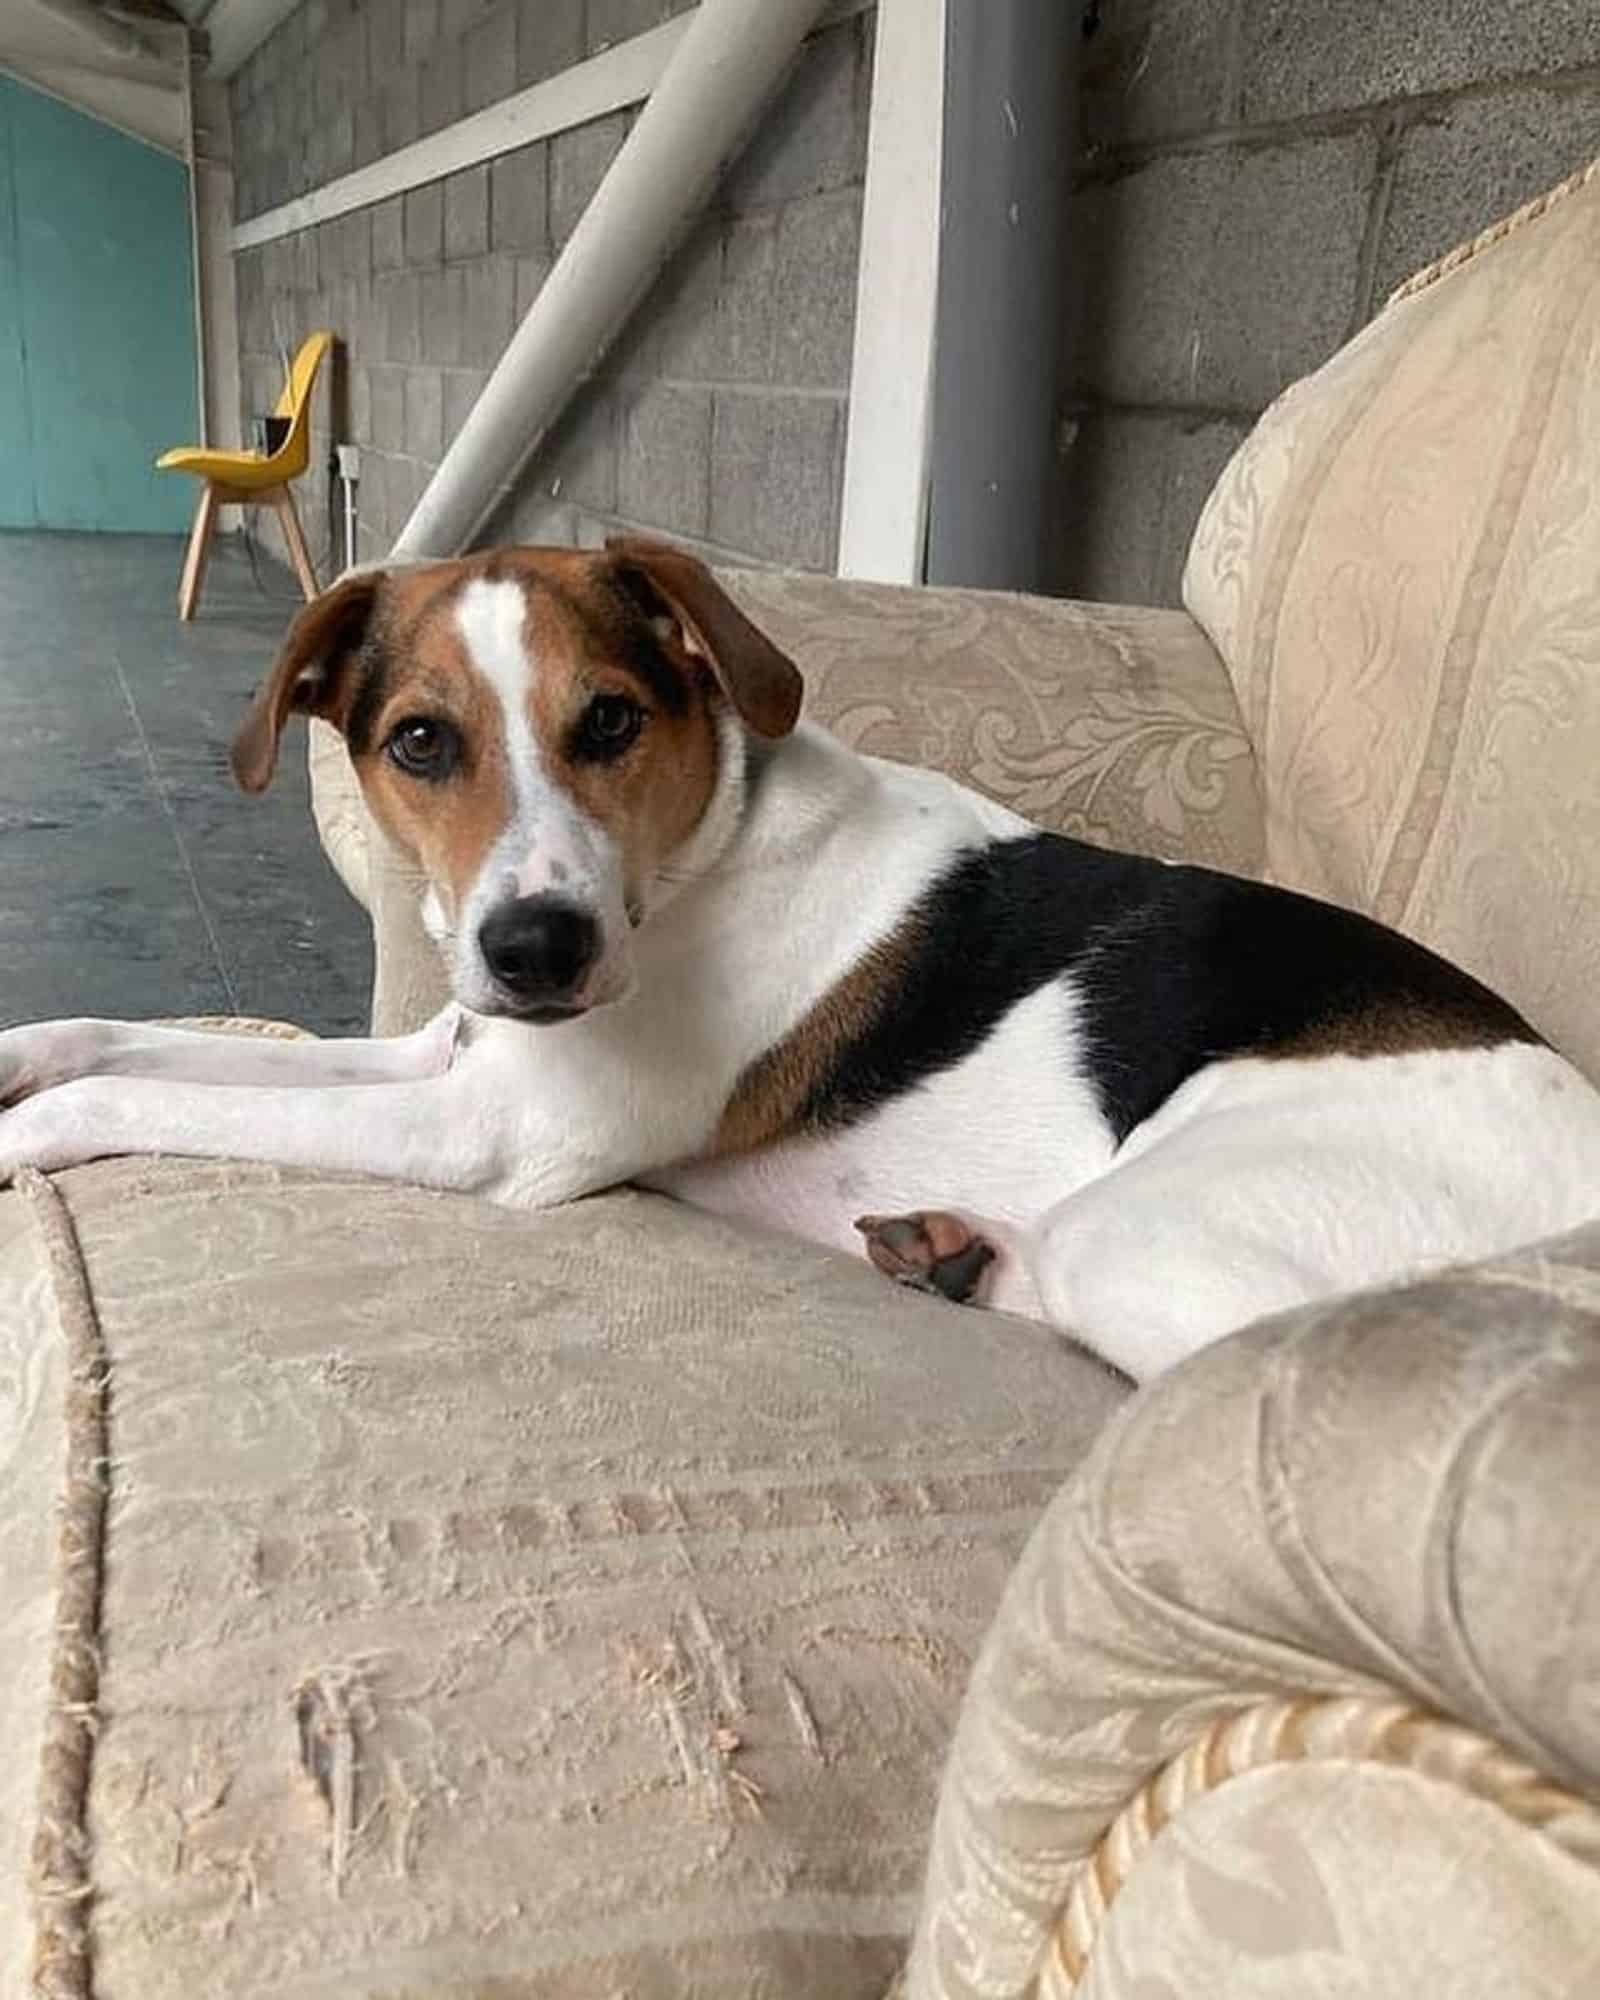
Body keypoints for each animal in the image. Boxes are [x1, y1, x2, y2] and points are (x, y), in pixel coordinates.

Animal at [3, 540, 1600, 1384]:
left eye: (610, 720)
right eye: (419, 743)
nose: (535, 950)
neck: (692, 861)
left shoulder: (483, 1130)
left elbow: (136, 1101)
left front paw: (24, 1133)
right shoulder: (443, 1052)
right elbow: (123, 1042)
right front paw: (25, 1050)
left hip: (1160, 1226)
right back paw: (952, 1252)